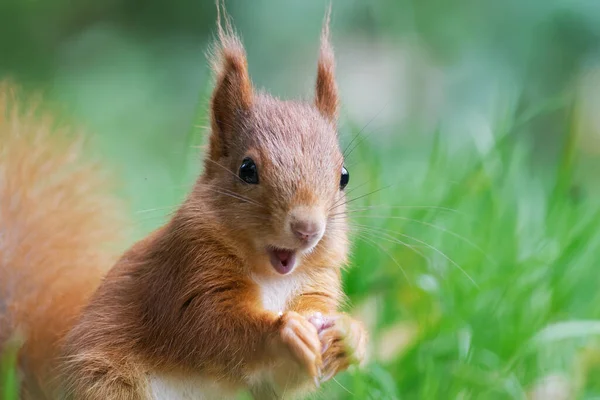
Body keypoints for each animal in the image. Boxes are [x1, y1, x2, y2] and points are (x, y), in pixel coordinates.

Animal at [0, 3, 368, 400]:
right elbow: (210, 328)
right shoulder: (185, 273)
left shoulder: (315, 286)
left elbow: (283, 378)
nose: (307, 228)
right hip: (106, 382)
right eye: (247, 169)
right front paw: (284, 330)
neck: (274, 279)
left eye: (344, 176)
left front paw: (351, 336)